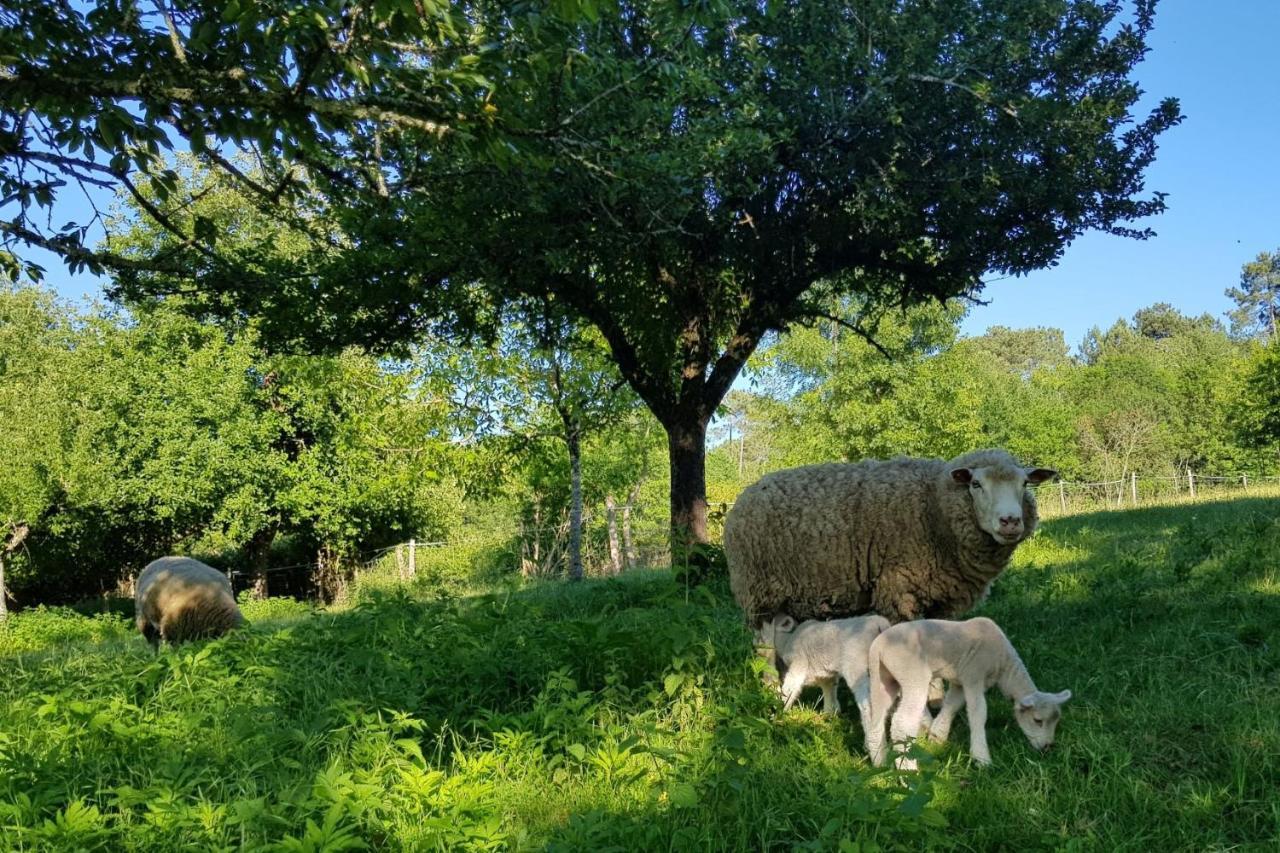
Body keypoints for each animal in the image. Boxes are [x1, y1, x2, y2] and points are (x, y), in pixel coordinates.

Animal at [727, 445, 1054, 625]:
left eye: (1025, 484)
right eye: (975, 484)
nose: (1010, 521)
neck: (934, 507)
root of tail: (744, 495)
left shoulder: (941, 603)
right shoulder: (900, 591)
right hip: (759, 593)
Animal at [757, 612, 890, 737]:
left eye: (762, 633)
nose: (757, 650)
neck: (786, 641)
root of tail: (879, 623)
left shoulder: (799, 664)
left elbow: (788, 690)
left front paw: (777, 717)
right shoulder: (826, 676)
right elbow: (829, 695)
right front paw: (829, 719)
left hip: (857, 668)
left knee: (869, 705)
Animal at [860, 614, 1070, 768]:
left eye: (1057, 721)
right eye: (1037, 720)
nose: (1047, 747)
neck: (1004, 667)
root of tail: (878, 647)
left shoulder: (960, 681)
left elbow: (952, 705)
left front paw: (937, 737)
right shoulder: (973, 676)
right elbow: (978, 714)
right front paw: (982, 759)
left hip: (883, 678)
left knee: (875, 718)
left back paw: (879, 762)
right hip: (912, 675)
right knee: (902, 724)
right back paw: (908, 770)